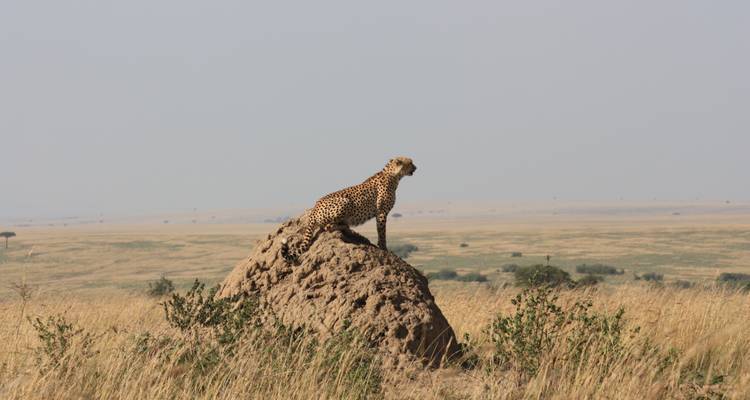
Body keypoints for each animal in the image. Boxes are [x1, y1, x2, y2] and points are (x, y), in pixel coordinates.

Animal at [281, 157, 417, 262]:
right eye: (410, 162)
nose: (416, 168)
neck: (394, 175)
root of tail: (314, 209)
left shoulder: (381, 213)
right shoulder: (382, 212)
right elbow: (382, 232)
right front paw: (384, 248)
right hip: (345, 201)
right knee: (328, 226)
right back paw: (345, 226)